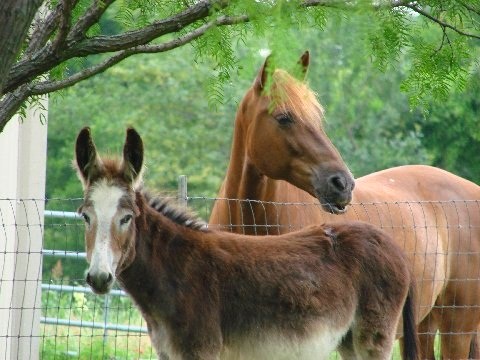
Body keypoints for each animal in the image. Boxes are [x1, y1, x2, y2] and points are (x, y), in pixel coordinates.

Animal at [76, 127, 420, 360]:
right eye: (85, 216)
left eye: (127, 218)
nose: (98, 278)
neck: (174, 272)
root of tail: (392, 245)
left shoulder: (201, 350)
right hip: (348, 340)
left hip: (373, 337)